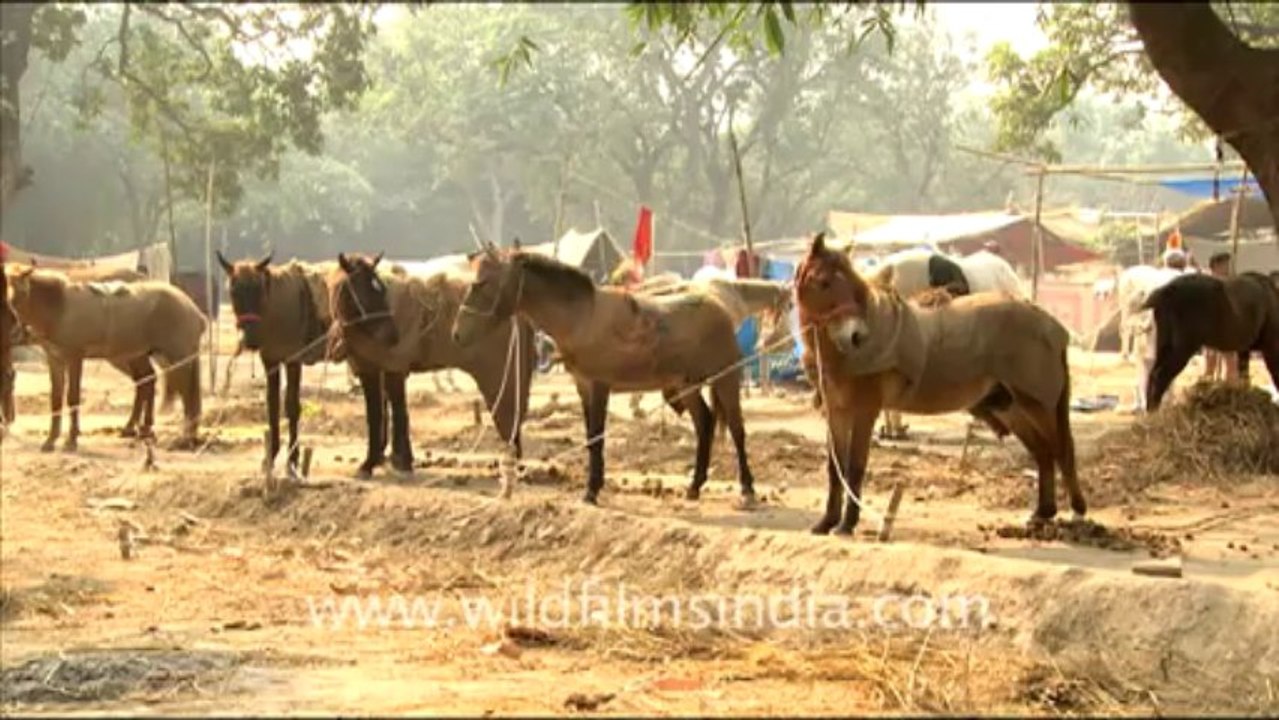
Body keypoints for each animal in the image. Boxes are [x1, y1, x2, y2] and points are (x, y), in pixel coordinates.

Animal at [7, 267, 205, 450]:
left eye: (15, 293)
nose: (13, 329)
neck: (59, 306)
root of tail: (194, 310)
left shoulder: (74, 357)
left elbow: (73, 397)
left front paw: (71, 440)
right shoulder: (55, 359)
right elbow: (55, 399)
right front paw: (50, 440)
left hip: (178, 359)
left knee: (187, 397)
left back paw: (184, 438)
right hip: (143, 356)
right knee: (149, 382)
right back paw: (143, 429)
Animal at [217, 251, 337, 477]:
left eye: (259, 291)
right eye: (234, 292)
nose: (251, 339)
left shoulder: (293, 359)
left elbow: (292, 406)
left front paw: (293, 460)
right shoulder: (270, 360)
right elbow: (272, 404)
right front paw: (270, 458)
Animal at [330, 252, 534, 498]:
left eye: (378, 289)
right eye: (361, 289)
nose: (393, 337)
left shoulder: (389, 367)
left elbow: (391, 413)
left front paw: (389, 464)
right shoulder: (373, 368)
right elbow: (383, 413)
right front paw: (384, 459)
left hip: (502, 372)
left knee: (510, 415)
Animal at [451, 243, 758, 507]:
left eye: (482, 283)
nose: (456, 334)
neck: (581, 318)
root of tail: (720, 309)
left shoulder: (599, 385)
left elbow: (597, 437)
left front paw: (591, 491)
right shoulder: (583, 386)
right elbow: (590, 438)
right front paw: (592, 487)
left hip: (727, 379)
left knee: (736, 429)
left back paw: (747, 489)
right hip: (687, 384)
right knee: (704, 423)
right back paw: (694, 486)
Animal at [1143, 272, 1279, 411]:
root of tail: (1166, 290)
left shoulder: (1244, 350)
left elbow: (1244, 376)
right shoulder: (1271, 348)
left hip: (1164, 345)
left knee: (1152, 375)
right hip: (1183, 348)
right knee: (1161, 377)